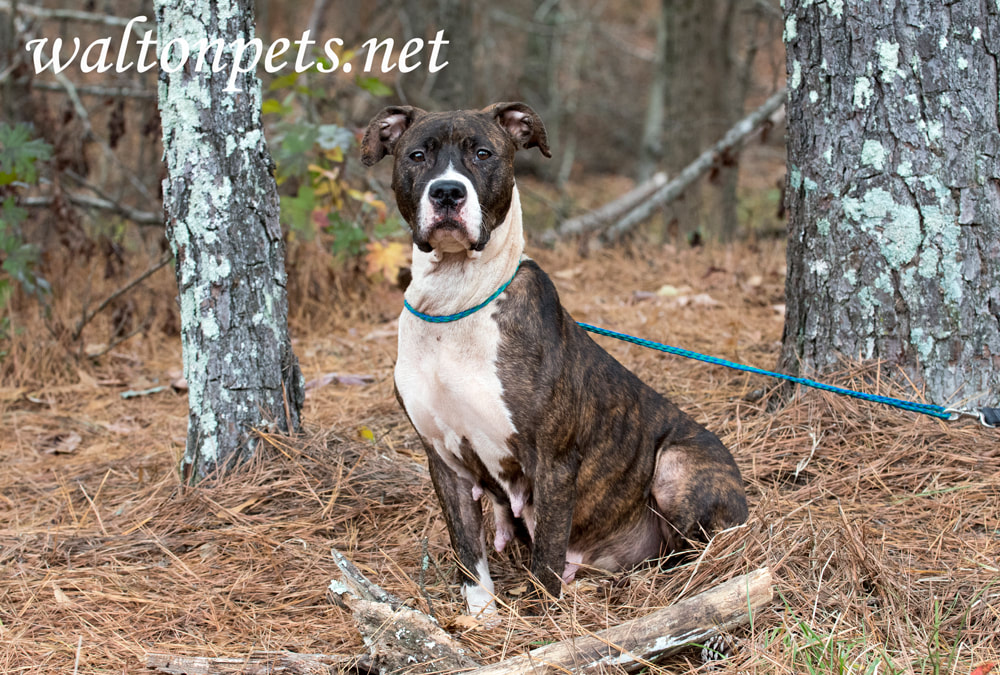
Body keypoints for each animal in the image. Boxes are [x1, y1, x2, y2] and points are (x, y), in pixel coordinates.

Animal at [364, 101, 748, 616]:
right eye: (417, 155)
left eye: (483, 153)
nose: (447, 192)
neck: (456, 301)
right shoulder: (444, 459)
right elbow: (468, 552)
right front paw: (482, 618)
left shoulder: (553, 463)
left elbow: (546, 554)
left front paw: (541, 621)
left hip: (677, 466)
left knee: (692, 551)